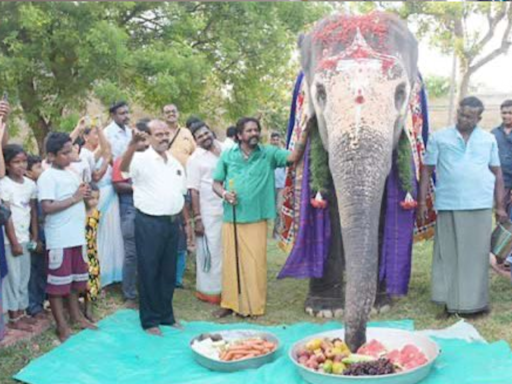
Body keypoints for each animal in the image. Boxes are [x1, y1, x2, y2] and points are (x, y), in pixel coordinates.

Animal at [280, 12, 420, 354]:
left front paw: (380, 305)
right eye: (320, 92)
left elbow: (382, 204)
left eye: (401, 92)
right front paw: (323, 309)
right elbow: (327, 197)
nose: (356, 344)